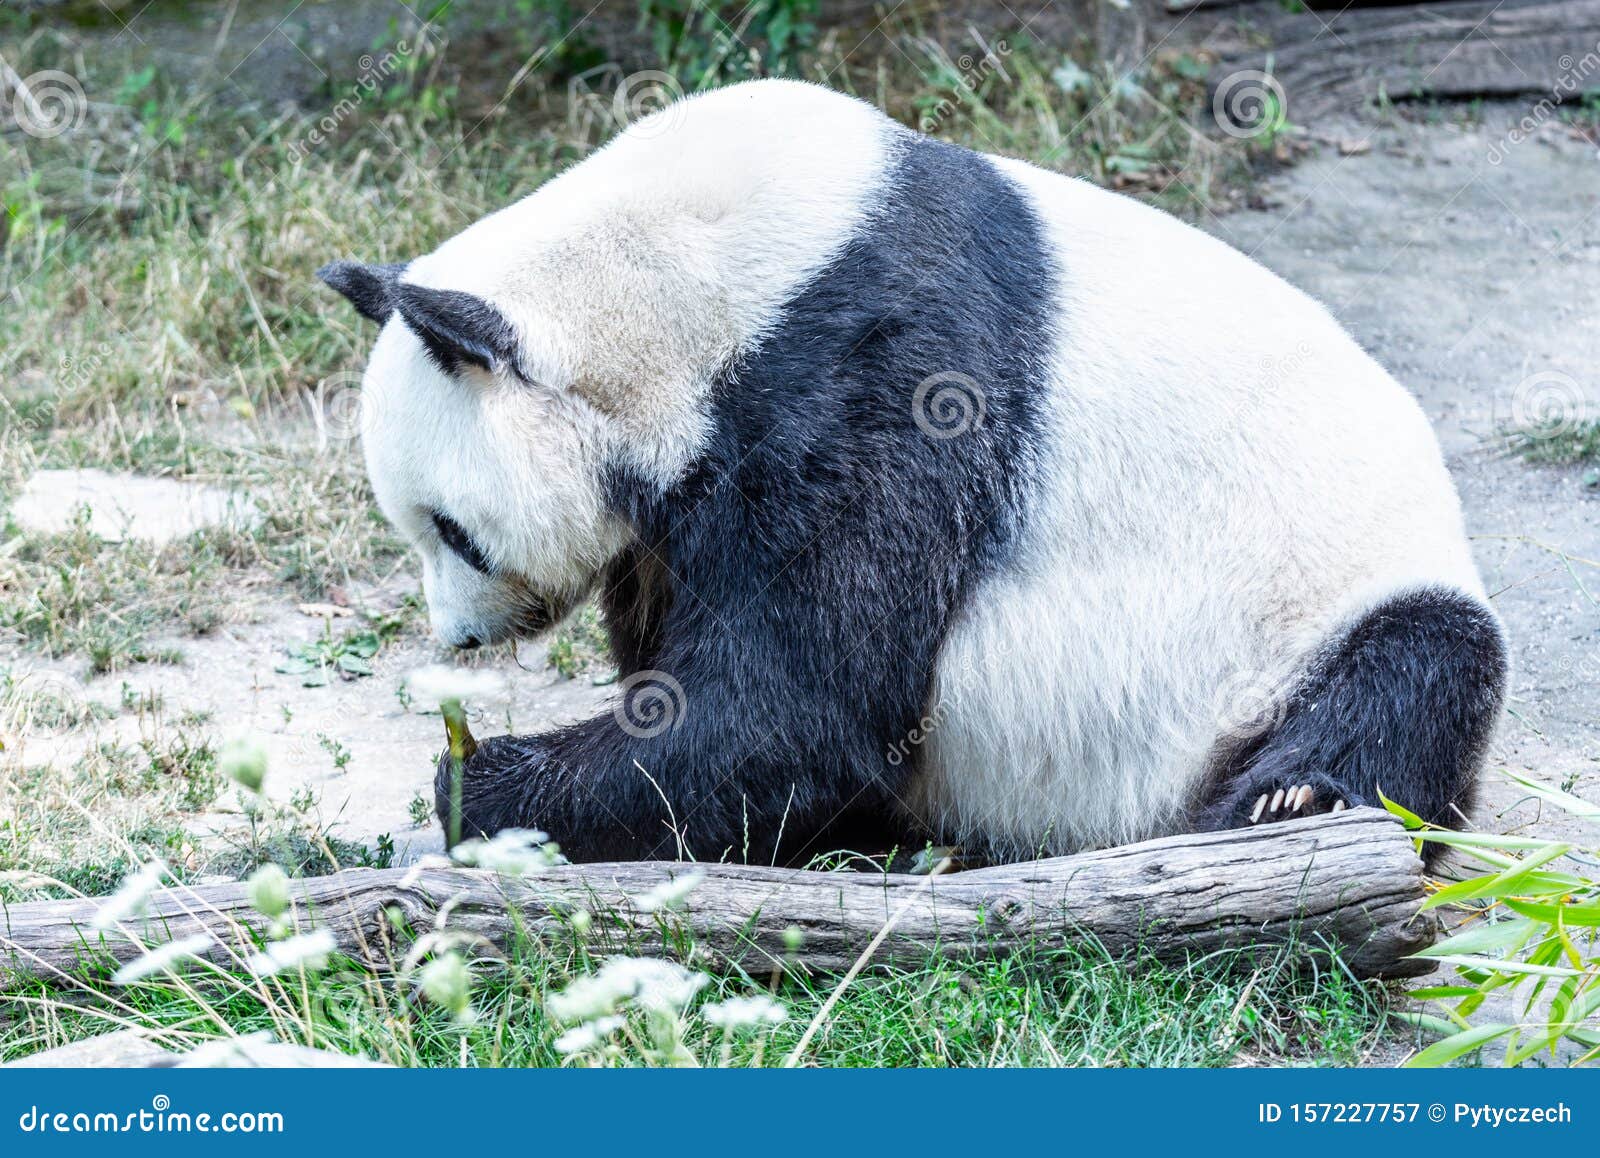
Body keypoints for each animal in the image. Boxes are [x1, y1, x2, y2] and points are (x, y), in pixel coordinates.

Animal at [318, 78, 1506, 865]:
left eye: (451, 530)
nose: (458, 640)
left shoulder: (880, 363)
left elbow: (801, 702)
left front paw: (481, 781)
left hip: (1329, 587)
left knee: (1419, 670)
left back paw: (1285, 806)